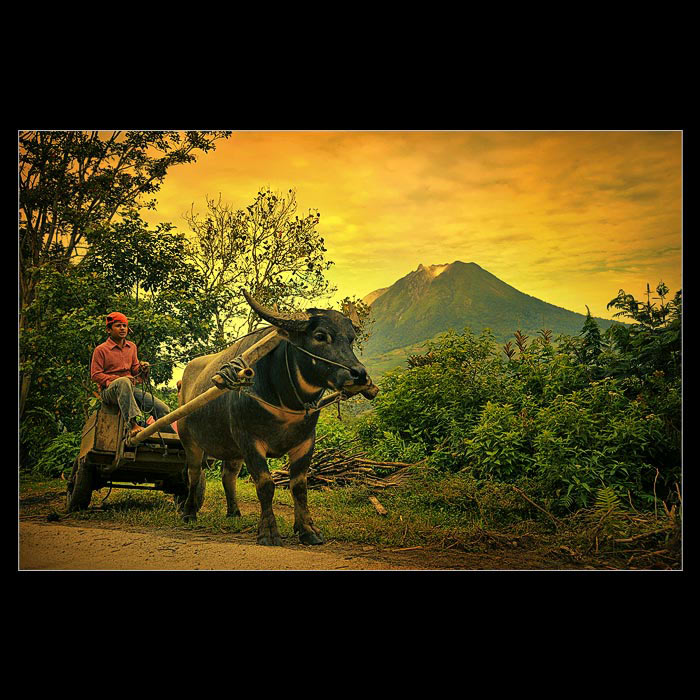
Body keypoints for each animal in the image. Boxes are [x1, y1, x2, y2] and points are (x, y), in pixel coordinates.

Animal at [176, 292, 372, 548]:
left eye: (350, 339)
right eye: (320, 335)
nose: (359, 375)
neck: (284, 397)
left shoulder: (306, 441)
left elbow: (299, 486)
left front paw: (307, 530)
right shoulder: (250, 442)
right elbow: (265, 484)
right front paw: (269, 532)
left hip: (232, 450)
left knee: (228, 476)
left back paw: (234, 513)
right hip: (190, 441)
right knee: (194, 474)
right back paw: (189, 512)